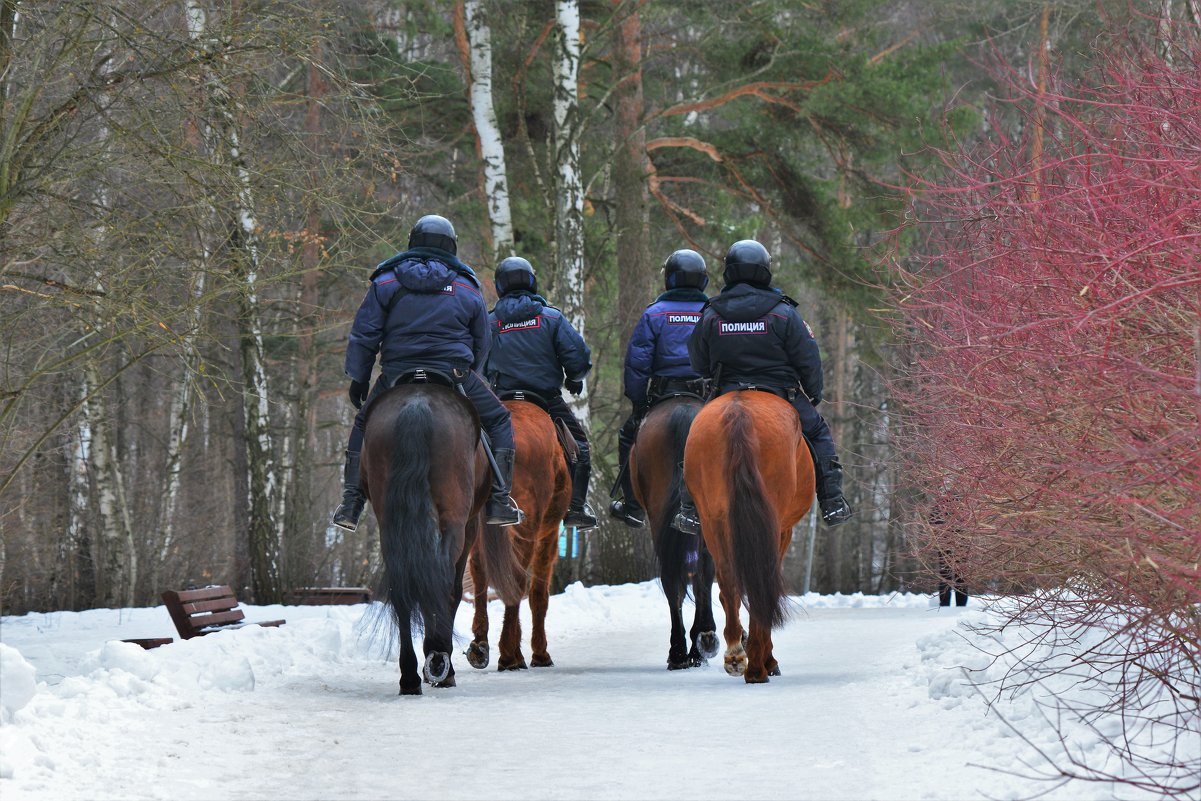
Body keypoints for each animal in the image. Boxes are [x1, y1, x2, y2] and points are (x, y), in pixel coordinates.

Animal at [360, 379, 521, 691]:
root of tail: (417, 405)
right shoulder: (468, 527)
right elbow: (454, 589)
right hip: (456, 522)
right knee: (444, 580)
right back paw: (438, 660)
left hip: (391, 523)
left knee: (403, 586)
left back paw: (410, 677)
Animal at [463, 398, 571, 672]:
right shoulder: (548, 535)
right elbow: (538, 594)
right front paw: (539, 653)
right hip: (528, 529)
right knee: (518, 581)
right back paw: (509, 655)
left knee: (479, 573)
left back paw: (481, 644)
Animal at [682, 389, 811, 682]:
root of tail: (737, 413)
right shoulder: (783, 531)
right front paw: (768, 659)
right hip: (770, 526)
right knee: (760, 585)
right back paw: (756, 667)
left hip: (713, 520)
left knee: (728, 582)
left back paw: (736, 655)